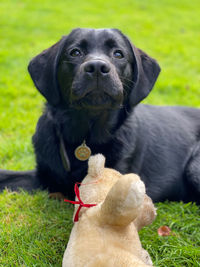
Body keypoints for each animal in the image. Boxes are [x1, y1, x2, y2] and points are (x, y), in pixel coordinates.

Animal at [0, 28, 200, 203]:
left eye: (118, 54)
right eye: (75, 52)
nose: (97, 67)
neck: (86, 134)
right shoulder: (43, 176)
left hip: (193, 167)